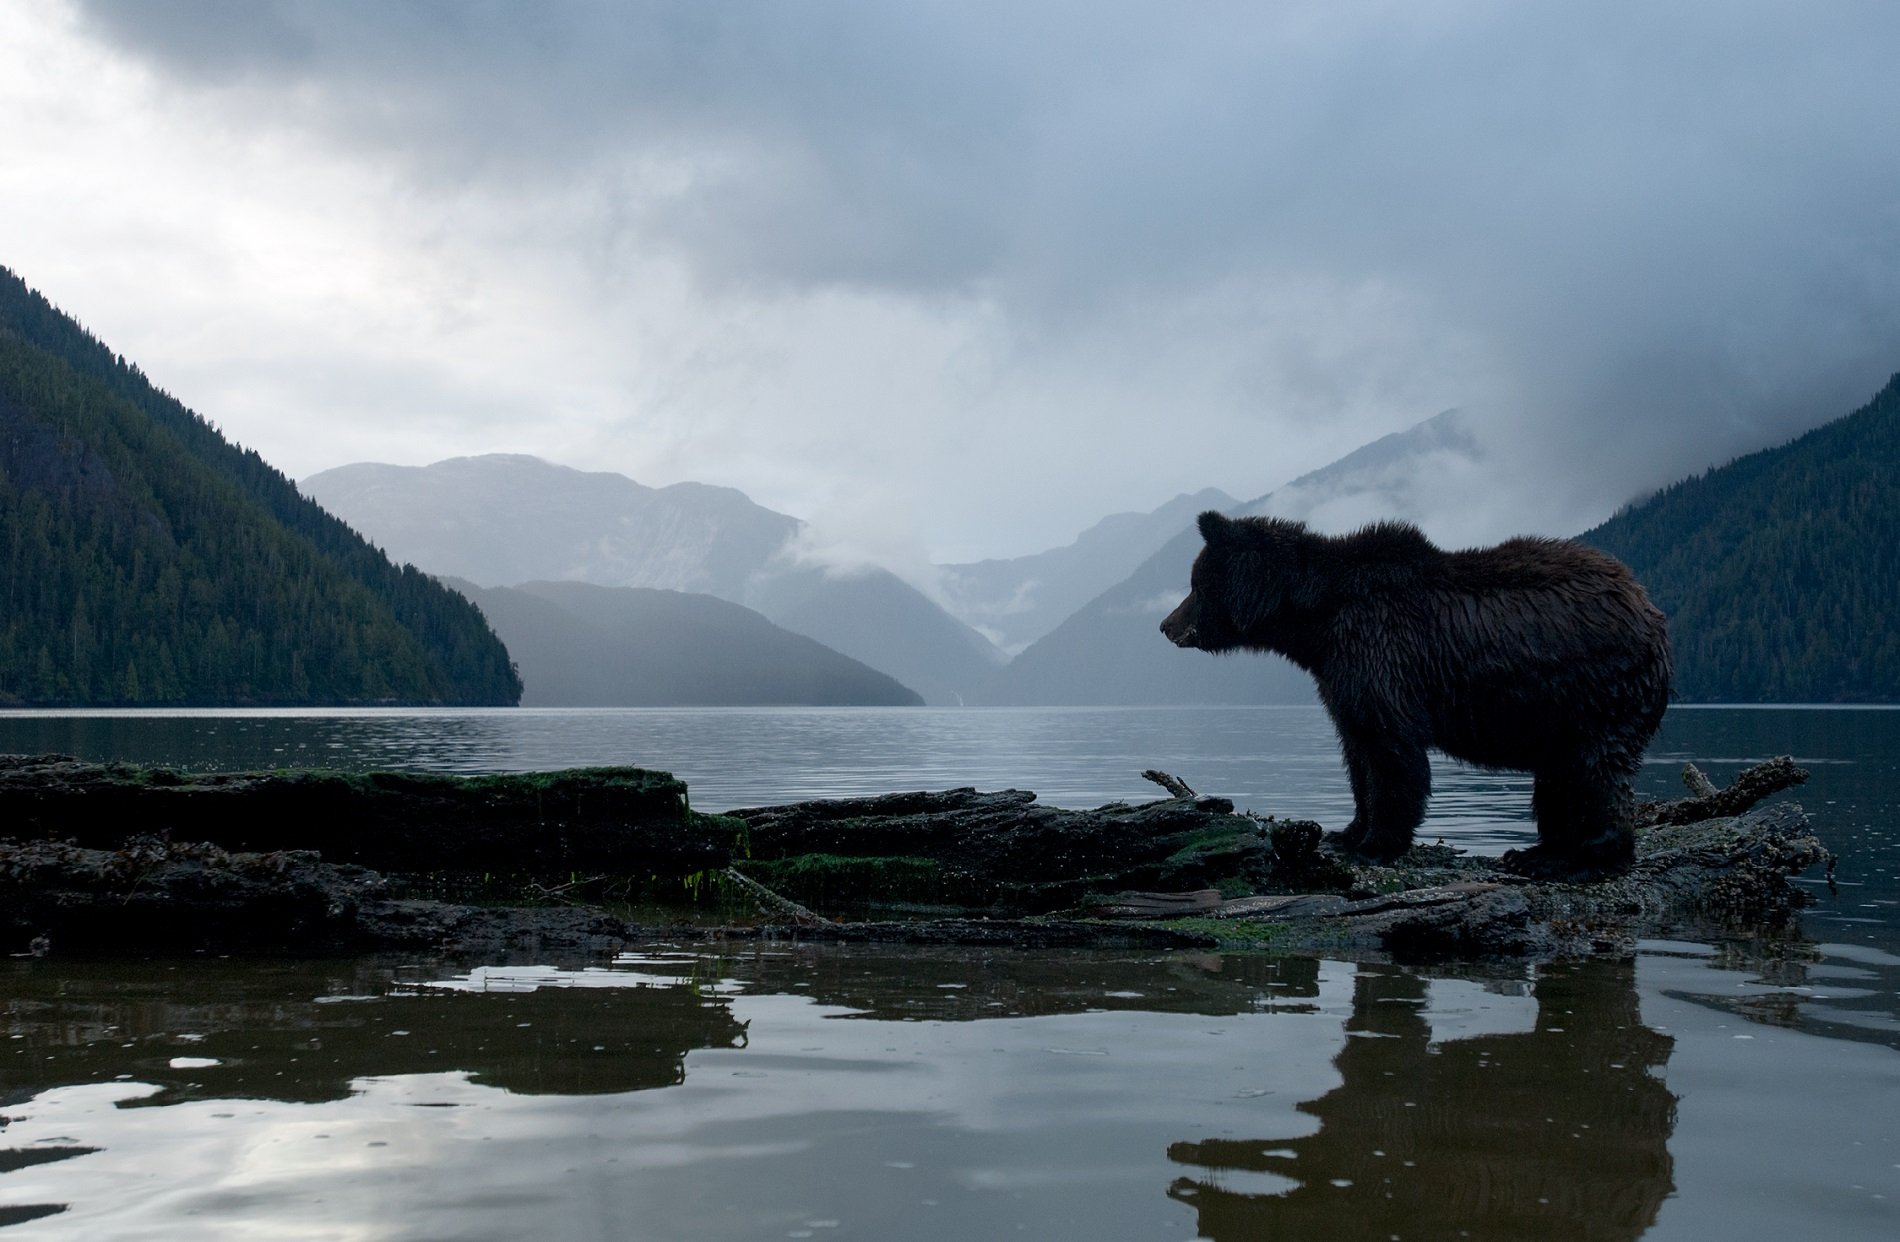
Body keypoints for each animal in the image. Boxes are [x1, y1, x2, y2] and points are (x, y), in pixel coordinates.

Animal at [1161, 511, 1671, 878]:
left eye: (1194, 584)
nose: (1166, 625)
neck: (1317, 622)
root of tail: (1650, 609)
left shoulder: (1381, 652)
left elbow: (1391, 751)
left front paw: (1377, 843)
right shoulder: (1341, 673)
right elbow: (1358, 750)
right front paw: (1347, 832)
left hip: (1597, 689)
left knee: (1595, 771)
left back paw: (1576, 858)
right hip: (1563, 711)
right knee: (1559, 779)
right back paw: (1536, 851)